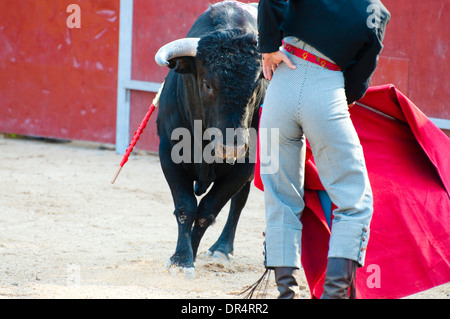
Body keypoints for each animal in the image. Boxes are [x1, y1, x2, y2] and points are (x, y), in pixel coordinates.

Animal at [156, 0, 268, 278]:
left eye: (255, 88)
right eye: (207, 85)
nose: (232, 147)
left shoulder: (244, 165)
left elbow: (207, 210)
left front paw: (190, 256)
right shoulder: (168, 154)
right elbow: (185, 207)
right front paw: (181, 260)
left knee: (239, 201)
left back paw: (222, 248)